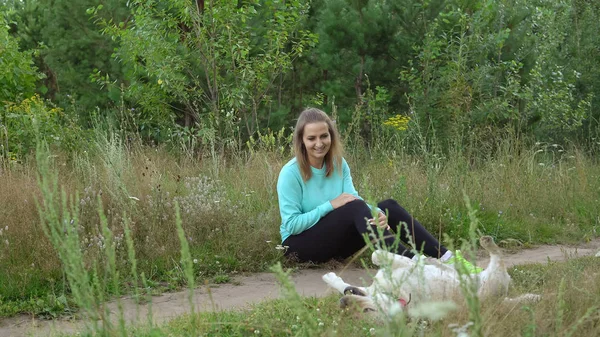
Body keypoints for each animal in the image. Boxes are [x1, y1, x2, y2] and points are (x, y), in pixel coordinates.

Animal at [322, 236, 540, 316]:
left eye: (367, 310)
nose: (343, 302)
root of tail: (499, 302)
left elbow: (377, 254)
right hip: (494, 281)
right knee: (498, 258)